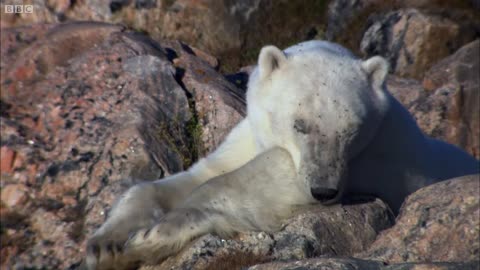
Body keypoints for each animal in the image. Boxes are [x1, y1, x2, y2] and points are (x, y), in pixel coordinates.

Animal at [85, 40, 476, 270]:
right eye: (299, 124)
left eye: (351, 129)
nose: (324, 191)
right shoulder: (248, 137)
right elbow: (201, 173)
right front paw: (107, 244)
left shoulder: (375, 161)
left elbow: (264, 179)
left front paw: (153, 236)